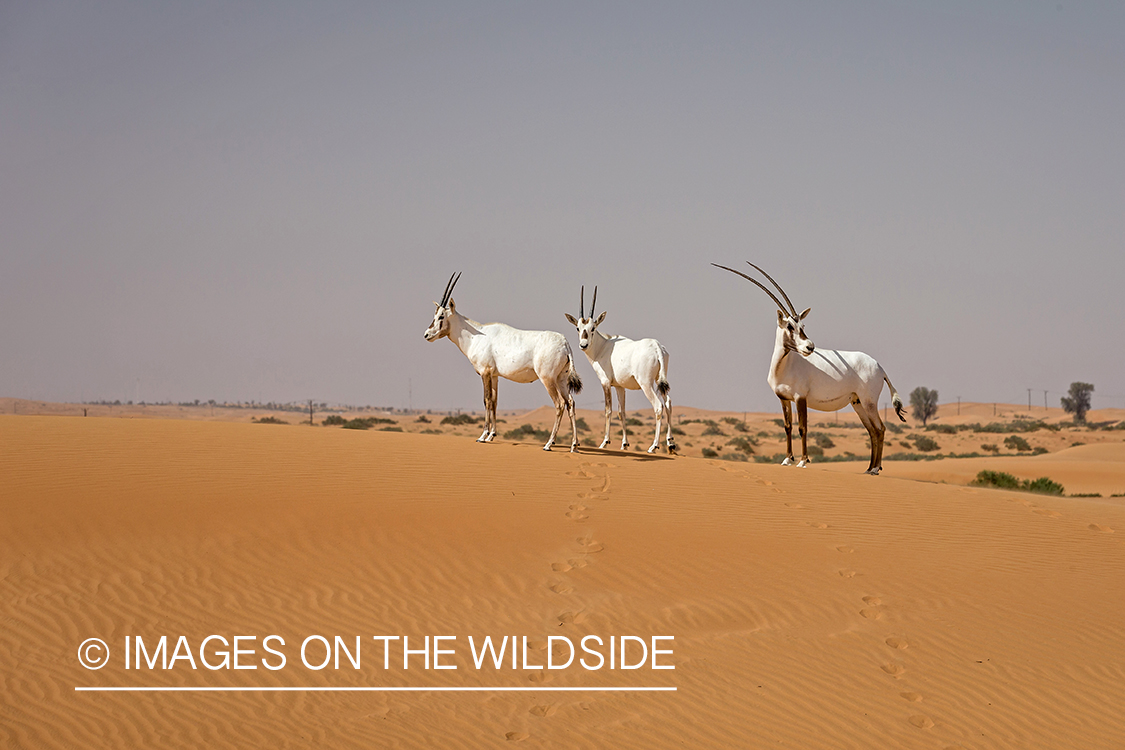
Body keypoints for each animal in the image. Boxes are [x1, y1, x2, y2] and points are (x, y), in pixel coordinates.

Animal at [423, 274, 585, 454]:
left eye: (441, 316)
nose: (427, 334)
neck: (476, 335)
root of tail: (564, 343)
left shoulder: (485, 373)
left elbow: (486, 400)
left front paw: (482, 436)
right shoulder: (494, 376)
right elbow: (495, 401)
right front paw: (491, 435)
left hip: (547, 379)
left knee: (559, 404)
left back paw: (549, 444)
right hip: (560, 379)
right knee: (570, 403)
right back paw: (574, 445)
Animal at [562, 285, 675, 452]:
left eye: (593, 327)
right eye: (578, 328)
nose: (583, 345)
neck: (602, 347)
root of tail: (656, 347)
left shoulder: (605, 383)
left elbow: (608, 410)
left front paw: (605, 442)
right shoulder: (620, 387)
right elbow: (622, 412)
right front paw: (624, 444)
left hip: (646, 384)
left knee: (658, 406)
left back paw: (653, 446)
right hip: (660, 381)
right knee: (668, 404)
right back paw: (670, 442)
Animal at [715, 263, 909, 474]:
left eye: (802, 325)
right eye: (790, 326)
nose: (810, 347)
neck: (784, 366)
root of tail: (880, 367)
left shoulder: (801, 397)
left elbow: (803, 428)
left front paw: (803, 461)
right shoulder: (784, 398)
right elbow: (787, 426)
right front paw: (787, 459)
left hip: (869, 402)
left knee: (880, 429)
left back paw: (874, 469)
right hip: (858, 403)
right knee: (872, 430)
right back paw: (869, 468)